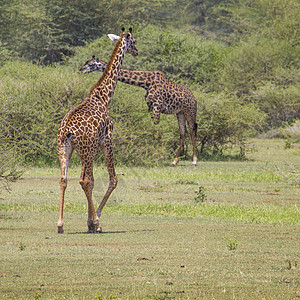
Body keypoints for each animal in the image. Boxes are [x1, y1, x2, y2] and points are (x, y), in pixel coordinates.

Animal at [56, 27, 138, 234]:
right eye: (134, 41)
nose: (136, 51)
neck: (103, 96)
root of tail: (67, 130)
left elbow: (89, 181)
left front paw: (90, 221)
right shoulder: (106, 141)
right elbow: (112, 179)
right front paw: (95, 221)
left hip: (65, 150)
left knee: (64, 179)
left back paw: (60, 225)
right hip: (87, 151)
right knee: (86, 181)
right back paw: (96, 224)